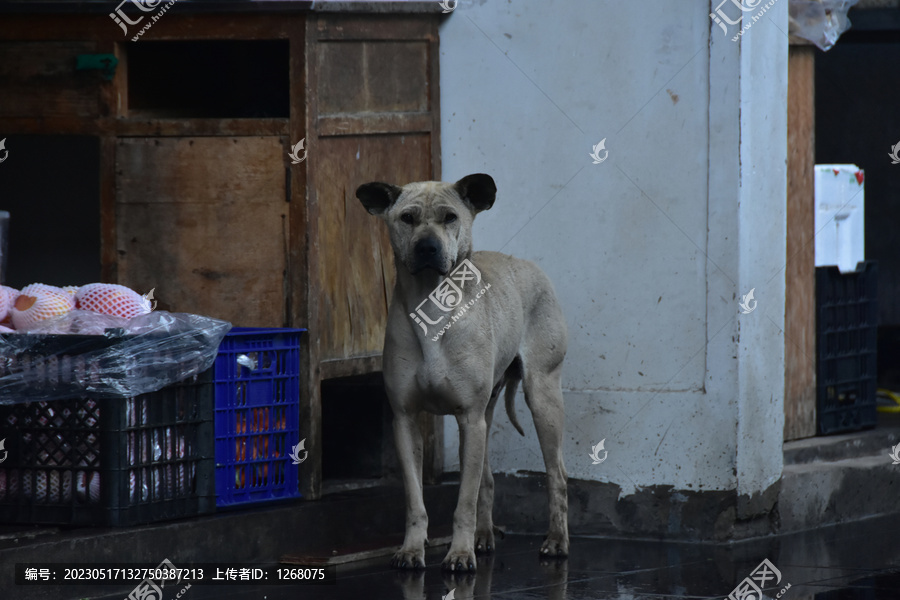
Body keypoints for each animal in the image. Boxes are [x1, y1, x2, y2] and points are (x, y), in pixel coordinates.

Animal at [356, 172, 568, 572]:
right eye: (407, 218)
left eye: (450, 217)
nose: (427, 247)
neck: (432, 306)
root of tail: (529, 265)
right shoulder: (406, 420)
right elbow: (416, 499)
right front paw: (412, 548)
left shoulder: (470, 418)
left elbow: (464, 501)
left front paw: (459, 553)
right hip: (484, 417)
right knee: (486, 480)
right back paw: (484, 536)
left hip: (543, 399)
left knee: (557, 476)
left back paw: (556, 541)